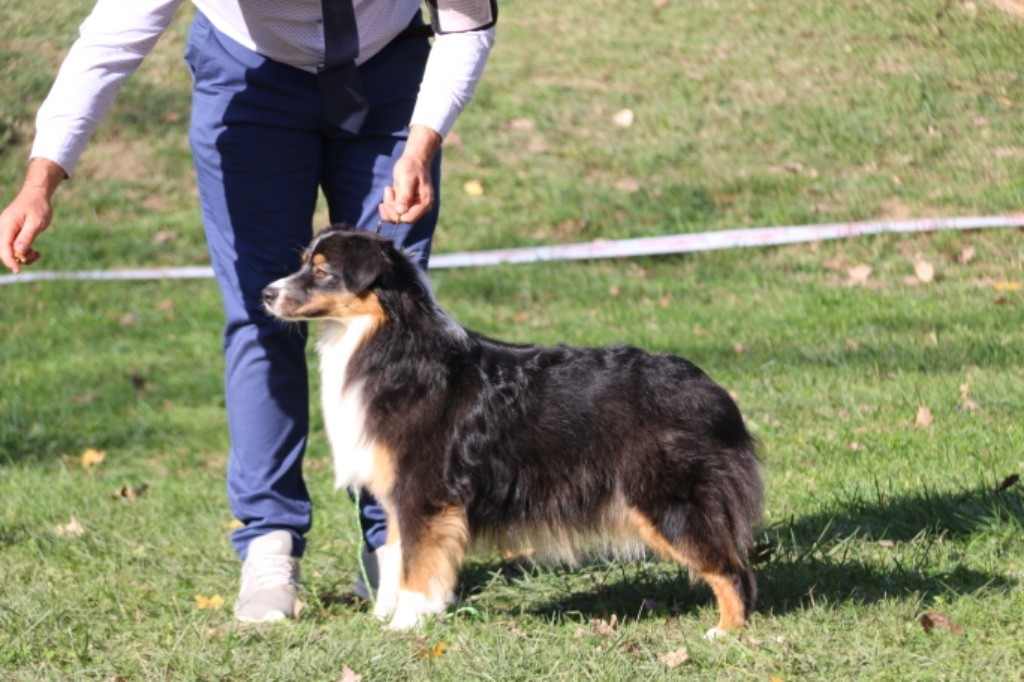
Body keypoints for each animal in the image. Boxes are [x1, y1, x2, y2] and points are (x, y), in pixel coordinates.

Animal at [262, 225, 761, 634]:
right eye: (303, 262)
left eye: (322, 272)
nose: (265, 293)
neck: (391, 344)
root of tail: (708, 386)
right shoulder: (401, 496)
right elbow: (399, 557)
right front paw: (393, 614)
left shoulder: (424, 492)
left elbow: (419, 564)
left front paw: (406, 625)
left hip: (666, 499)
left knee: (732, 569)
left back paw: (726, 632)